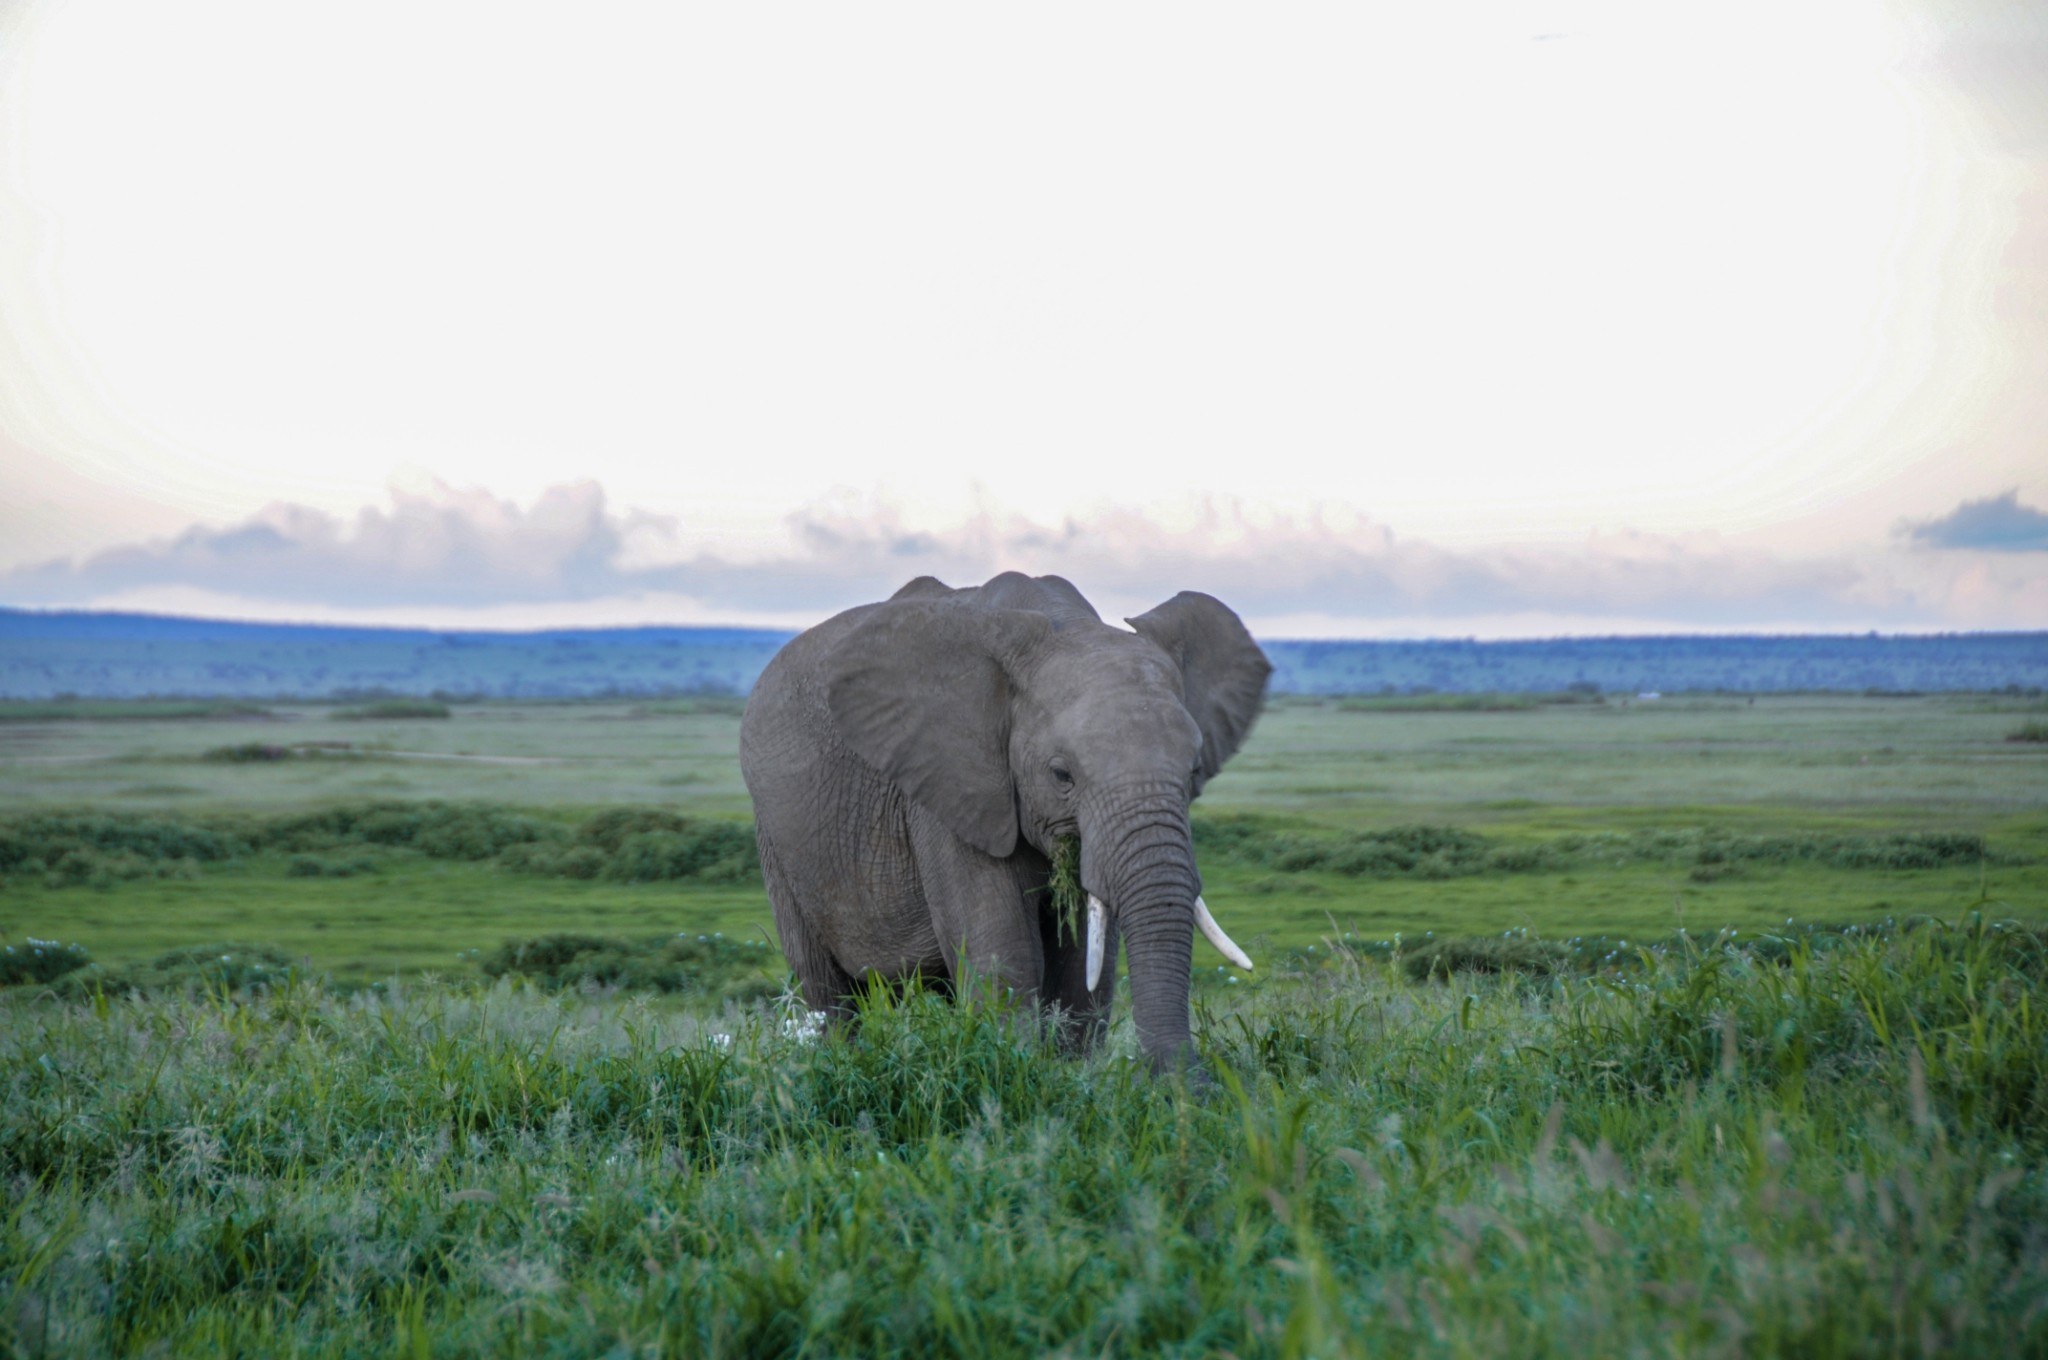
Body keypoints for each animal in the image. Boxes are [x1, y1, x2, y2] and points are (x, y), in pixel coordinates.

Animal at [745, 569, 1269, 1065]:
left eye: (1194, 769)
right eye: (1062, 775)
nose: (1195, 1084)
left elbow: (1082, 968)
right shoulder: (947, 786)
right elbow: (1004, 954)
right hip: (776, 839)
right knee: (827, 994)